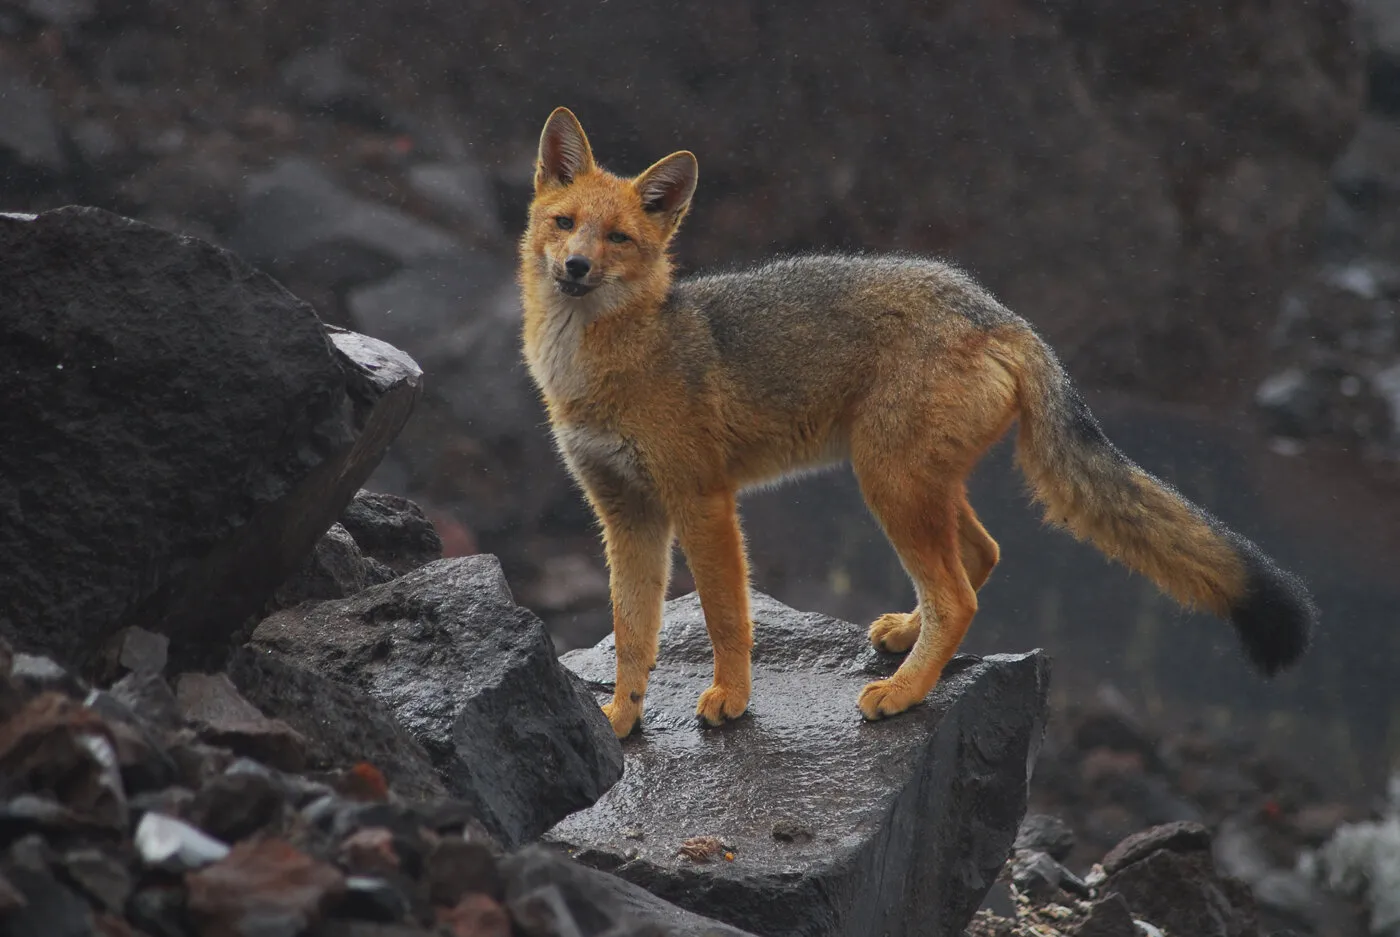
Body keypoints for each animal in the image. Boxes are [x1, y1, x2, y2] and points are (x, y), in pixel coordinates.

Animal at [518, 106, 1318, 739]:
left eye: (619, 238)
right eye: (565, 225)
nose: (577, 268)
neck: (602, 363)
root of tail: (996, 310)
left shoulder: (702, 500)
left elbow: (724, 614)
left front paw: (732, 698)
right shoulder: (626, 512)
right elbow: (631, 632)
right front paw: (619, 719)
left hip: (888, 482)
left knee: (960, 594)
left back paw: (902, 694)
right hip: (913, 482)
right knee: (982, 557)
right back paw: (907, 638)